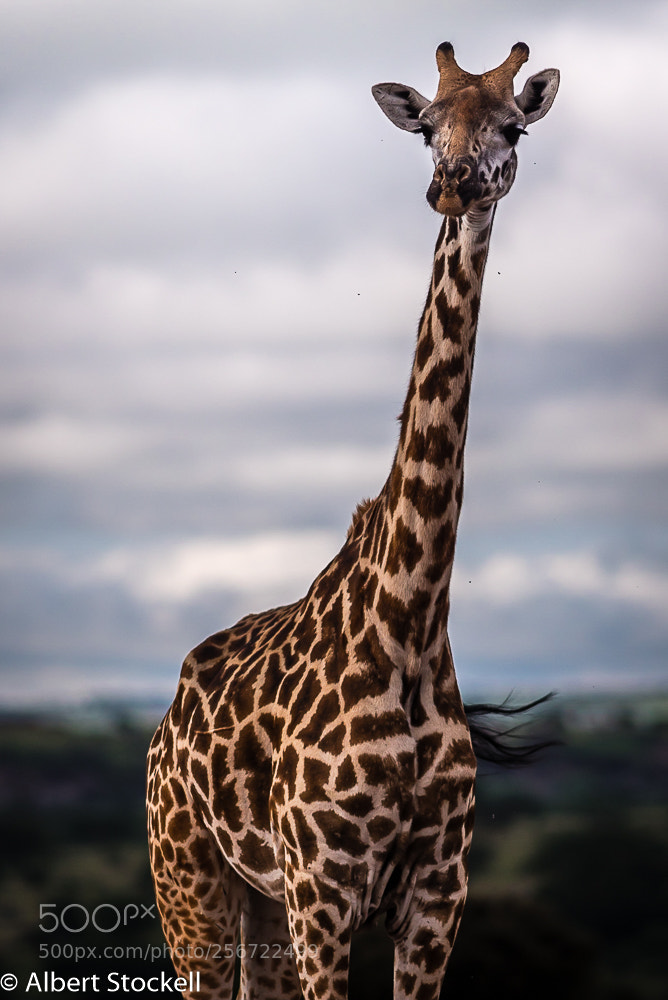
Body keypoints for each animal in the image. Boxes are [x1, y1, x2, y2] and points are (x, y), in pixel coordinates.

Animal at [147, 41, 559, 1000]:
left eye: (513, 126)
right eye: (426, 129)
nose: (453, 186)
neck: (408, 624)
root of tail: (163, 726)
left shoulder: (438, 896)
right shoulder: (324, 890)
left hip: (259, 905)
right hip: (192, 883)